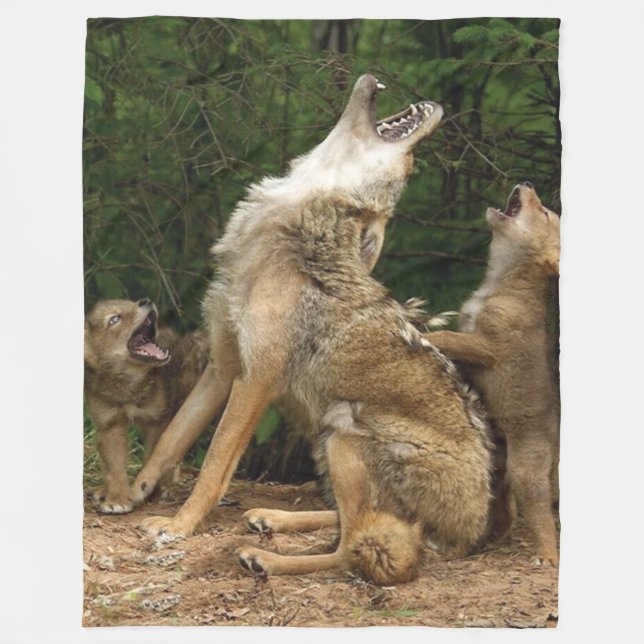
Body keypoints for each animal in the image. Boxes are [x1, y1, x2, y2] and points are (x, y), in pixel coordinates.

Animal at [84, 298, 209, 513]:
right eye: (114, 319)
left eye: (132, 303)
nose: (146, 300)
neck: (130, 386)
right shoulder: (110, 425)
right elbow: (115, 468)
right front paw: (117, 498)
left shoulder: (157, 421)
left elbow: (154, 456)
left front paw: (150, 492)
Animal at [130, 75, 493, 583]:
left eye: (408, 171)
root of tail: (473, 532)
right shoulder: (222, 366)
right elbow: (173, 436)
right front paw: (136, 489)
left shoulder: (255, 381)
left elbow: (214, 465)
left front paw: (177, 526)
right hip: (327, 440)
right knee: (345, 520)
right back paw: (270, 519)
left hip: (343, 432)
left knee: (354, 548)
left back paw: (263, 557)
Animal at [427, 182, 561, 565]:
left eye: (544, 213)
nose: (527, 184)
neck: (500, 284)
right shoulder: (473, 344)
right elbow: (453, 343)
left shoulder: (487, 346)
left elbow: (447, 337)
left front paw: (425, 334)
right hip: (498, 471)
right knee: (505, 513)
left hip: (527, 471)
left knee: (541, 516)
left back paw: (546, 556)